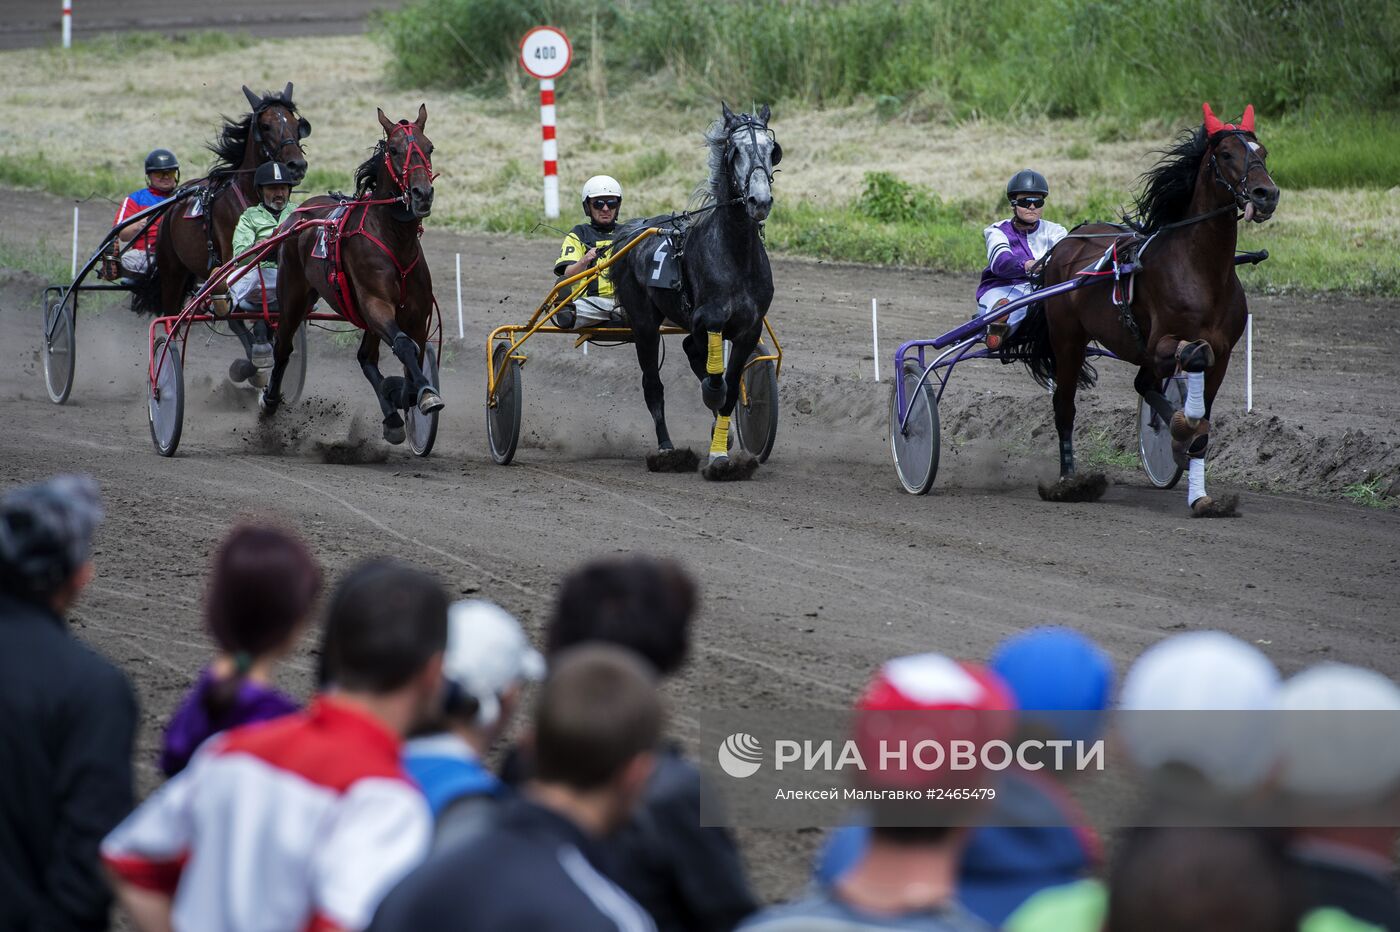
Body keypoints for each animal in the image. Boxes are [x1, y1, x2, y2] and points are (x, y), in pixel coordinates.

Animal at [135, 84, 310, 323]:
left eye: (295, 124)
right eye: (265, 126)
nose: (297, 165)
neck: (253, 195)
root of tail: (173, 203)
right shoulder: (232, 253)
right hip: (172, 271)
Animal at [260, 103, 439, 445]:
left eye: (429, 147)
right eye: (394, 149)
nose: (422, 194)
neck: (395, 240)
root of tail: (297, 215)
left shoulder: (416, 315)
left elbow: (413, 357)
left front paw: (411, 394)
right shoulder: (375, 303)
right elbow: (404, 347)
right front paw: (411, 393)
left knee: (366, 358)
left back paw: (392, 417)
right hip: (293, 296)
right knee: (283, 347)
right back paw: (270, 402)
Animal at [613, 103, 789, 478]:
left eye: (772, 149)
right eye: (735, 151)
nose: (760, 201)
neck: (735, 253)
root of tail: (630, 231)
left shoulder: (748, 329)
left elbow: (730, 386)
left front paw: (722, 448)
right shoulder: (706, 320)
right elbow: (715, 382)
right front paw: (717, 441)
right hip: (644, 324)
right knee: (653, 385)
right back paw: (667, 450)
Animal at [1008, 101, 1282, 514]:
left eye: (1262, 152)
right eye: (1226, 154)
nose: (1266, 194)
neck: (1202, 271)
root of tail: (1065, 244)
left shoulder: (1223, 352)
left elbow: (1202, 424)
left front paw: (1201, 496)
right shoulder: (1160, 342)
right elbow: (1193, 358)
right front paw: (1182, 428)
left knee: (1143, 383)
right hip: (1068, 339)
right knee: (1065, 406)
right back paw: (1070, 482)